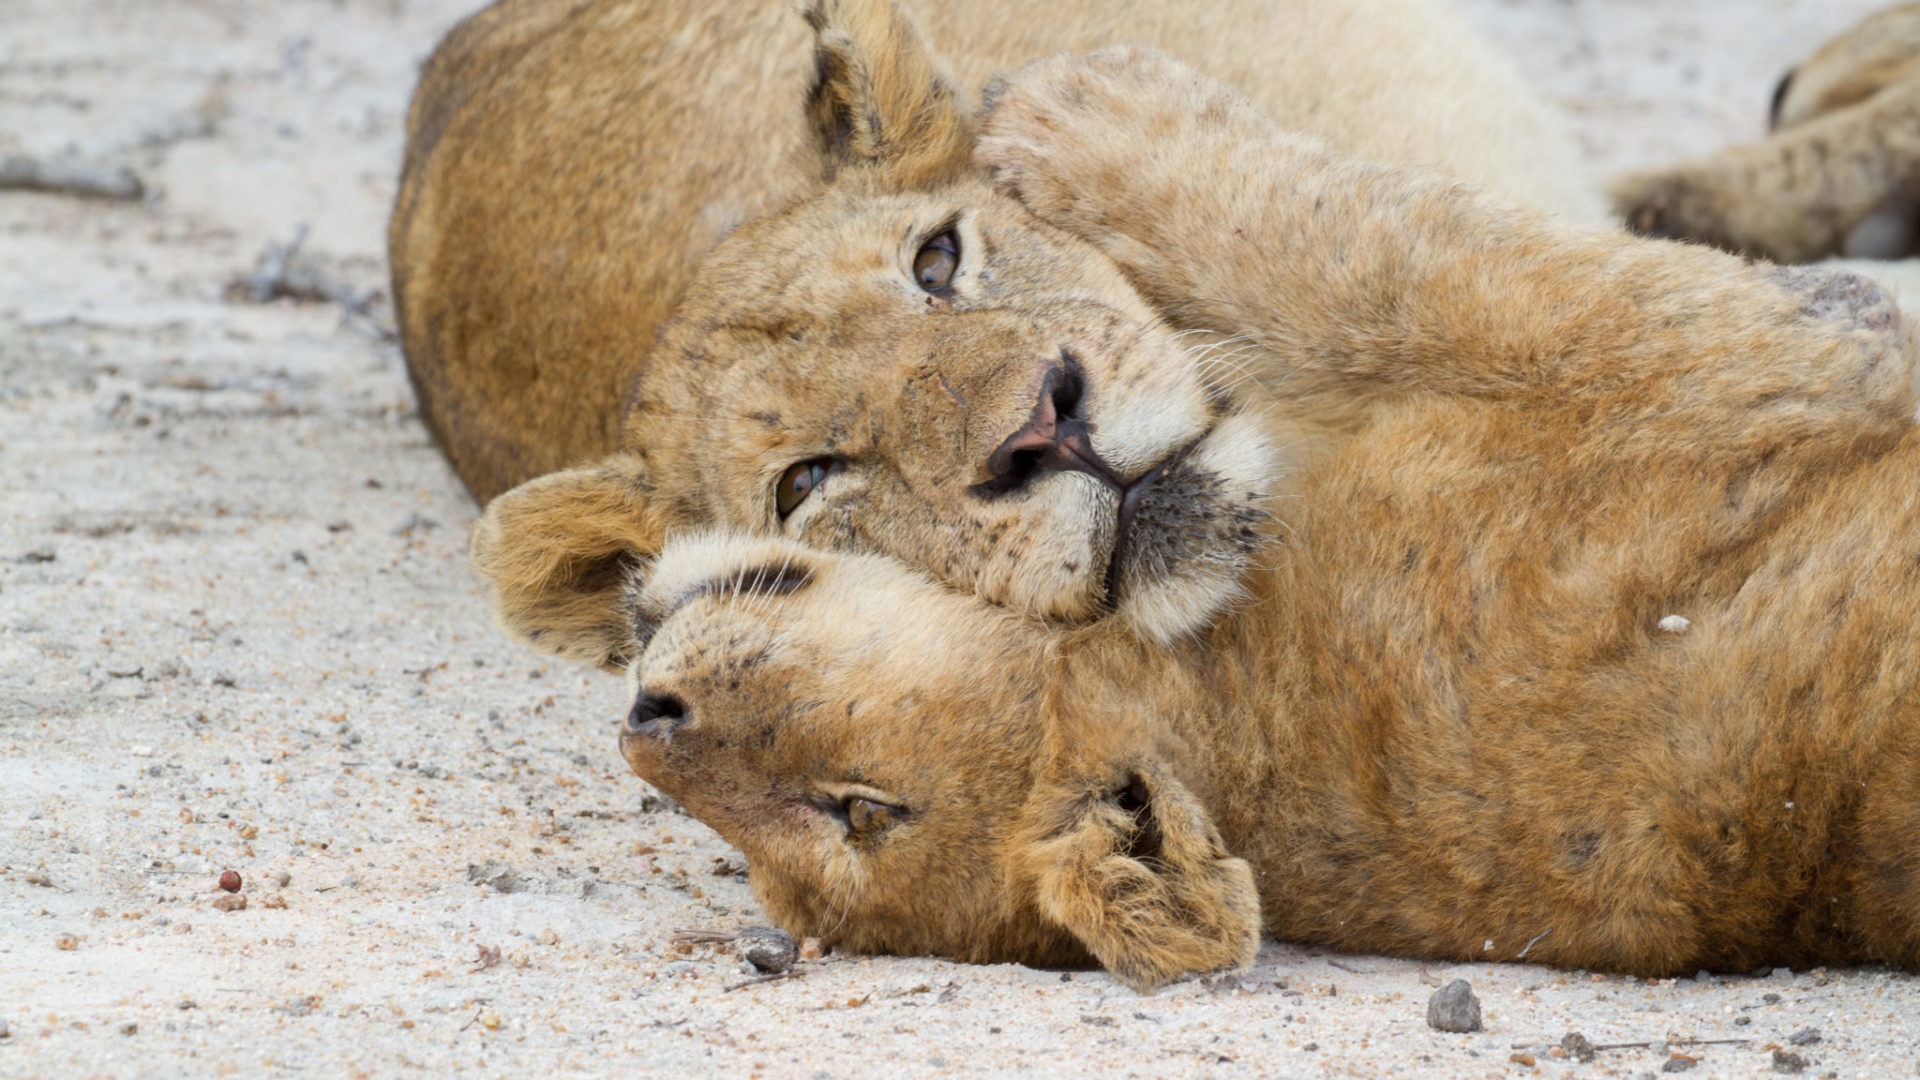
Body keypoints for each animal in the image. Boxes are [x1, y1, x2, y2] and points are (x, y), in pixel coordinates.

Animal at [598, 51, 1920, 991]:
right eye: (849, 815)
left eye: (936, 264)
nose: (646, 718)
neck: (1226, 708)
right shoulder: (1759, 355)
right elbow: (1403, 256)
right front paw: (1093, 111)